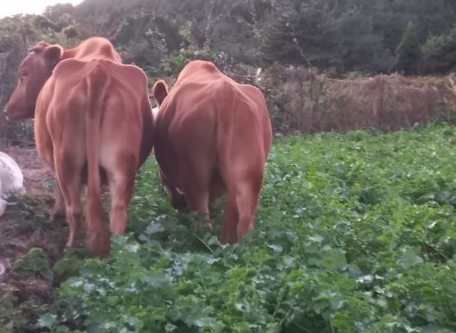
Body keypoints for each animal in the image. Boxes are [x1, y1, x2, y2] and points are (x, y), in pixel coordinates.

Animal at [4, 37, 153, 254]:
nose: (7, 109)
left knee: (74, 209)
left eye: (24, 73)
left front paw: (56, 215)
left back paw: (70, 251)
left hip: (66, 160)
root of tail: (98, 71)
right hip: (121, 164)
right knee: (117, 209)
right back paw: (116, 252)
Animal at [152, 59, 270, 243]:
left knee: (202, 222)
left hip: (194, 176)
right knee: (244, 223)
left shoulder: (166, 172)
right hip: (250, 174)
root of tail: (225, 96)